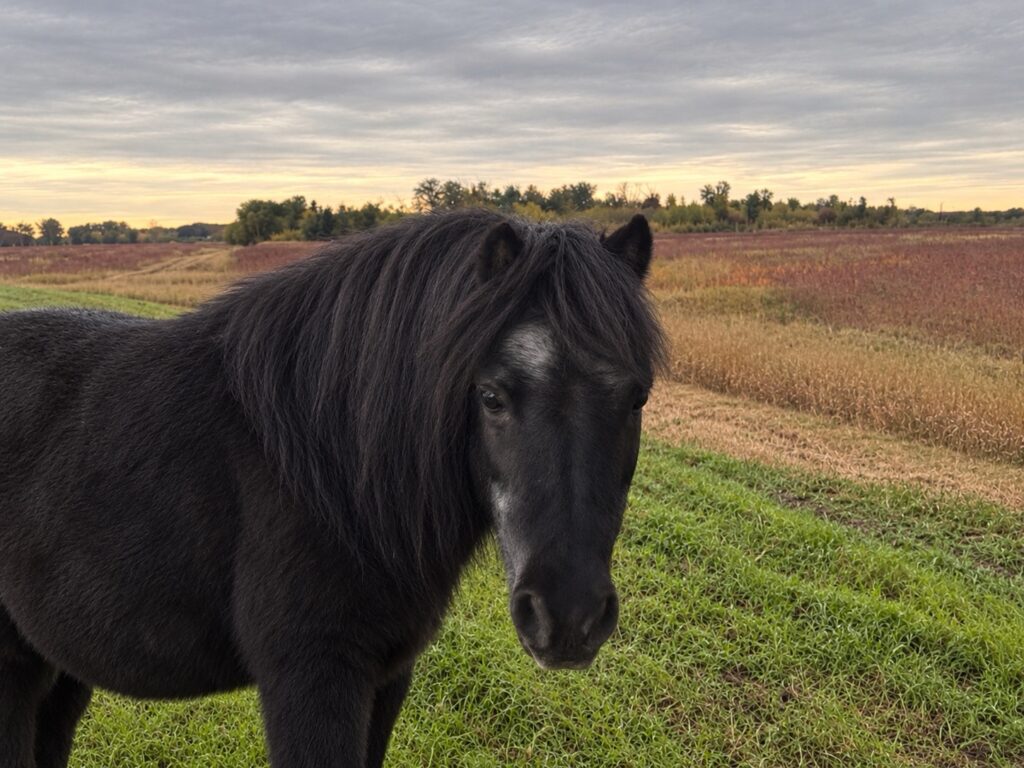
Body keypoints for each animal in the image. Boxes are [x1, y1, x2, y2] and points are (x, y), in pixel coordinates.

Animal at [0, 209, 666, 767]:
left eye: (638, 397)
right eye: (492, 395)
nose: (568, 618)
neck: (327, 475)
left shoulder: (387, 677)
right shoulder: (312, 680)